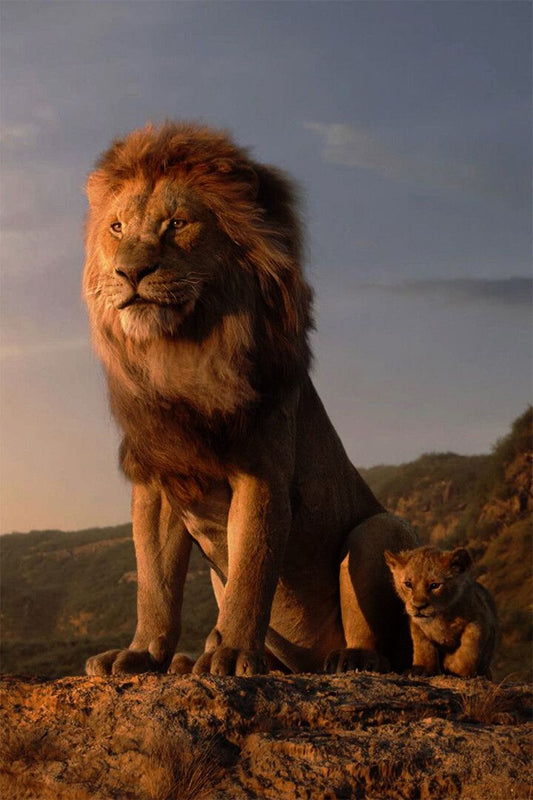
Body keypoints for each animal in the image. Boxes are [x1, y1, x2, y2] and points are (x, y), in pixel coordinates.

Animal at [83, 121, 418, 678]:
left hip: (378, 530)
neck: (179, 355)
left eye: (177, 224)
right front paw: (142, 653)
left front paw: (234, 653)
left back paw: (349, 659)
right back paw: (190, 661)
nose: (130, 272)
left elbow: (251, 572)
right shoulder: (158, 481)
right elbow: (154, 584)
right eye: (116, 228)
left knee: (383, 642)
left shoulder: (262, 474)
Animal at [385, 546, 498, 678]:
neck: (440, 618)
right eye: (408, 584)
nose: (419, 607)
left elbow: (470, 648)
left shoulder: (480, 619)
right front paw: (422, 669)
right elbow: (423, 647)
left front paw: (453, 665)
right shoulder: (416, 625)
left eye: (435, 585)